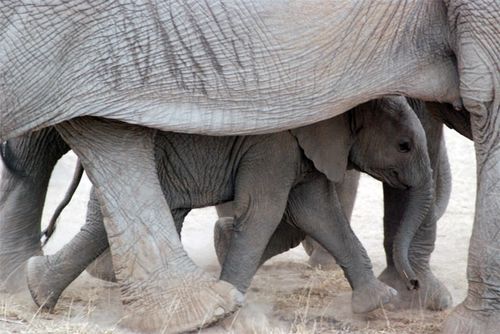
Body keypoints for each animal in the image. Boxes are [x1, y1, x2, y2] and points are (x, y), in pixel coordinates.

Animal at [28, 95, 434, 314]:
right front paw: (230, 311)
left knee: (112, 222)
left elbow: (320, 213)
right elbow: (263, 213)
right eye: (404, 146)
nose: (413, 283)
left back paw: (39, 291)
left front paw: (378, 303)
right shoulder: (272, 145)